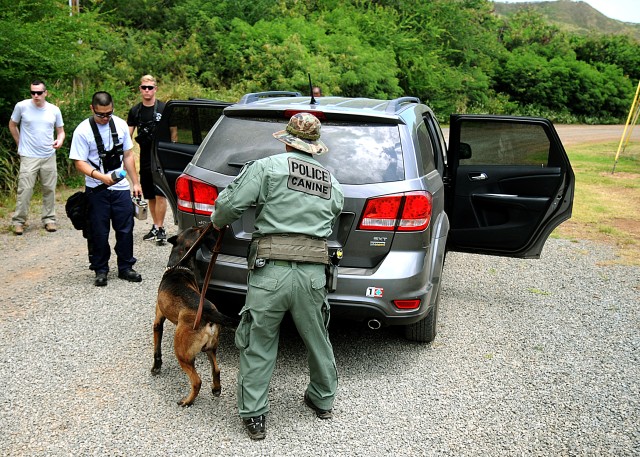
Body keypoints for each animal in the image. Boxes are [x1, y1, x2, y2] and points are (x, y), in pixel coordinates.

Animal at [152, 224, 238, 406]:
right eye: (197, 229)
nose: (208, 224)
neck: (181, 265)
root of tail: (209, 312)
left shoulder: (158, 319)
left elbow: (157, 348)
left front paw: (156, 367)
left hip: (183, 354)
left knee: (197, 381)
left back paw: (187, 401)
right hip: (210, 348)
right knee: (217, 369)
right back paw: (216, 389)